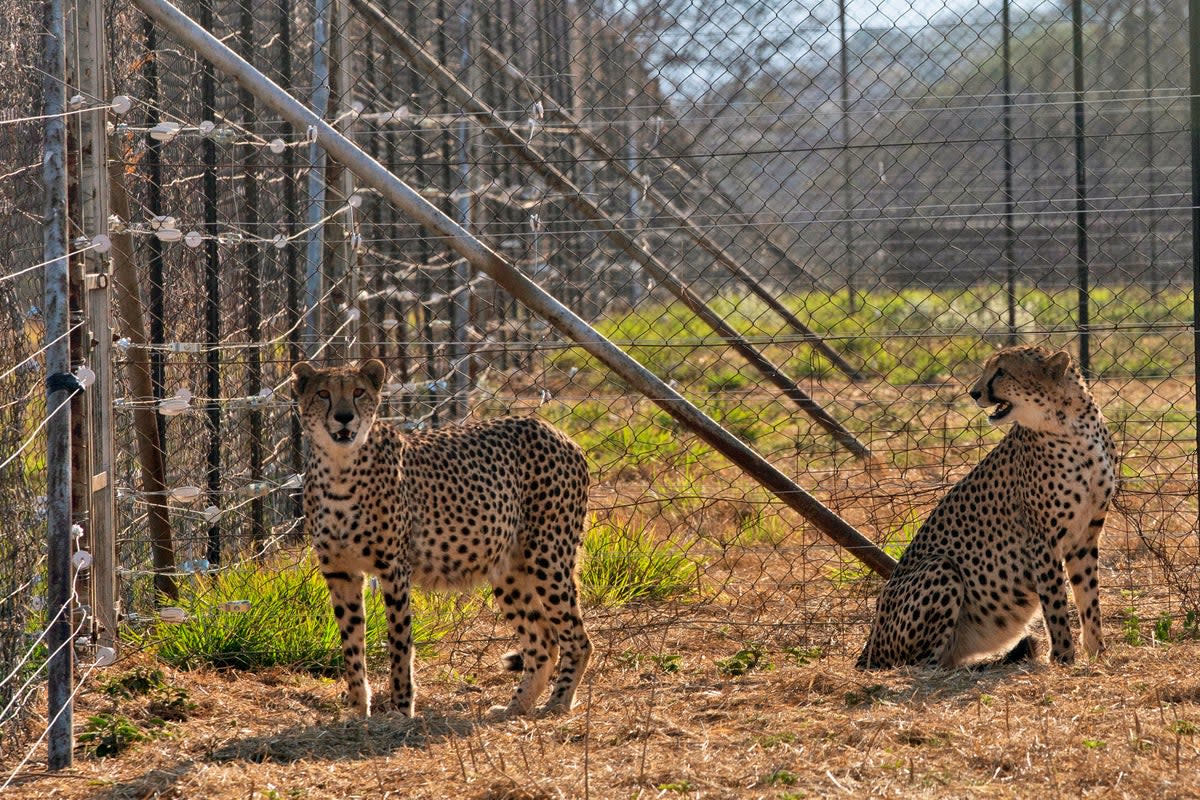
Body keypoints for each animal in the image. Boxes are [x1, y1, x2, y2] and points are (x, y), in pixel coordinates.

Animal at [290, 362, 590, 719]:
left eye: (358, 392)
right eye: (323, 393)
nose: (345, 416)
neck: (339, 466)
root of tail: (550, 428)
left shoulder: (394, 569)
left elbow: (399, 642)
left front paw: (401, 709)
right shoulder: (340, 572)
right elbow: (351, 643)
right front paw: (358, 710)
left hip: (548, 557)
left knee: (577, 638)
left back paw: (557, 704)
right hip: (508, 570)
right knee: (542, 640)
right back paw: (514, 708)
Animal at [859, 345, 1118, 671]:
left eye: (1001, 372)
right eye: (987, 369)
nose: (974, 393)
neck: (1072, 425)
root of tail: (868, 646)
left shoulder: (1085, 536)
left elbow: (1088, 598)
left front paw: (1098, 653)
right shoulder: (1042, 540)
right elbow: (1055, 603)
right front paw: (1062, 657)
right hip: (940, 566)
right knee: (920, 662)